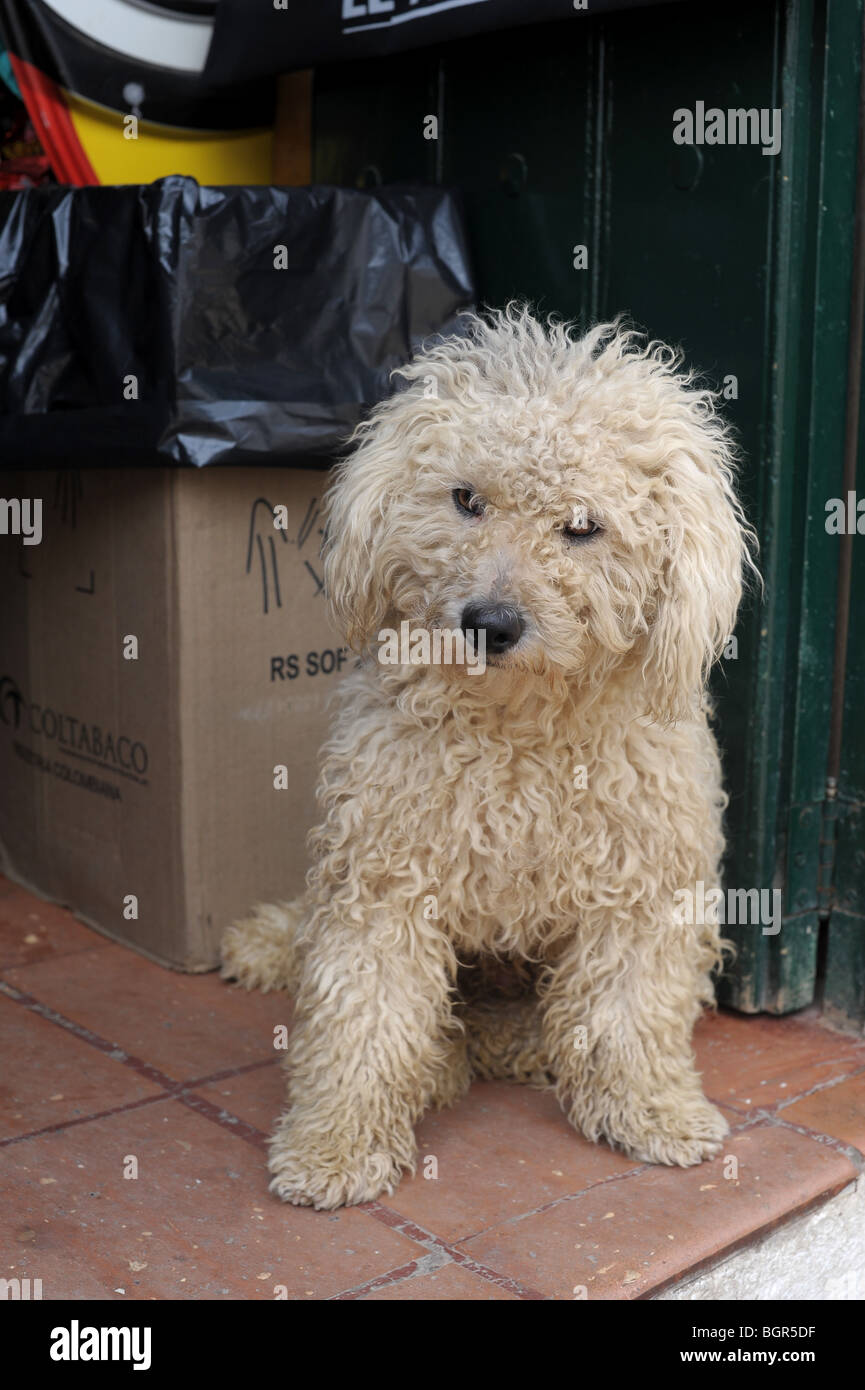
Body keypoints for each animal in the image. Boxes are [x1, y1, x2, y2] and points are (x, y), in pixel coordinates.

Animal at [223, 304, 756, 1206]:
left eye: (581, 527)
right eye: (466, 499)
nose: (490, 621)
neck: (519, 734)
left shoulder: (641, 889)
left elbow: (629, 1013)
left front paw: (650, 1111)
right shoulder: (381, 882)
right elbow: (362, 1020)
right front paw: (334, 1146)